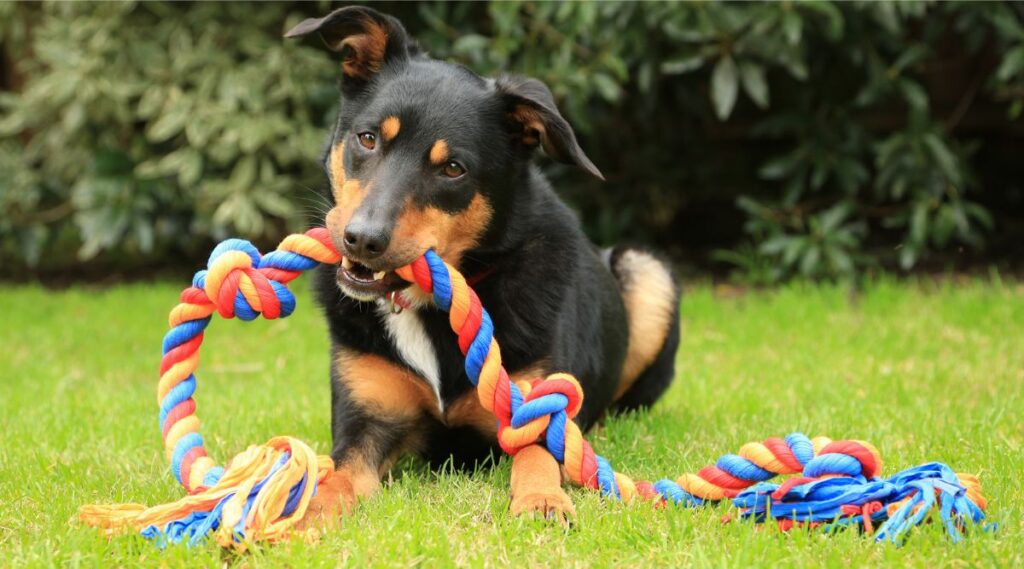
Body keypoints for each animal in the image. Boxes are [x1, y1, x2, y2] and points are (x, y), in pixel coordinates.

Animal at [284, 7, 679, 523]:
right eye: (368, 139)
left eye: (453, 168)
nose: (363, 239)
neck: (436, 303)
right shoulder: (368, 418)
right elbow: (337, 477)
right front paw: (300, 513)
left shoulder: (533, 406)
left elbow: (536, 457)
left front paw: (541, 499)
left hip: (648, 271)